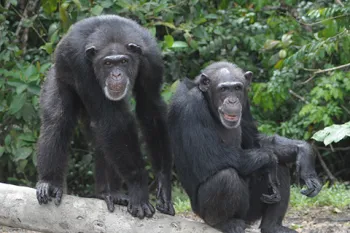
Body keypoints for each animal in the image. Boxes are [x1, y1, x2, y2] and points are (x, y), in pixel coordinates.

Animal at [35, 14, 175, 218]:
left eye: (123, 61)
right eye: (108, 63)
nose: (116, 75)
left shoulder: (152, 60)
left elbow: (150, 109)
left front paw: (164, 184)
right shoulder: (80, 65)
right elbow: (111, 120)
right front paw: (139, 189)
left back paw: (111, 192)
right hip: (57, 75)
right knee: (57, 121)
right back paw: (50, 183)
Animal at [168, 61, 322, 232]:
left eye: (237, 88)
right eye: (223, 89)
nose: (232, 101)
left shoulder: (246, 102)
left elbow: (255, 141)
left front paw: (304, 153)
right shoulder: (192, 106)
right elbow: (209, 157)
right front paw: (270, 159)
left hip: (252, 212)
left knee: (281, 166)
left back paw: (272, 226)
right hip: (204, 213)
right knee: (226, 177)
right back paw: (226, 223)